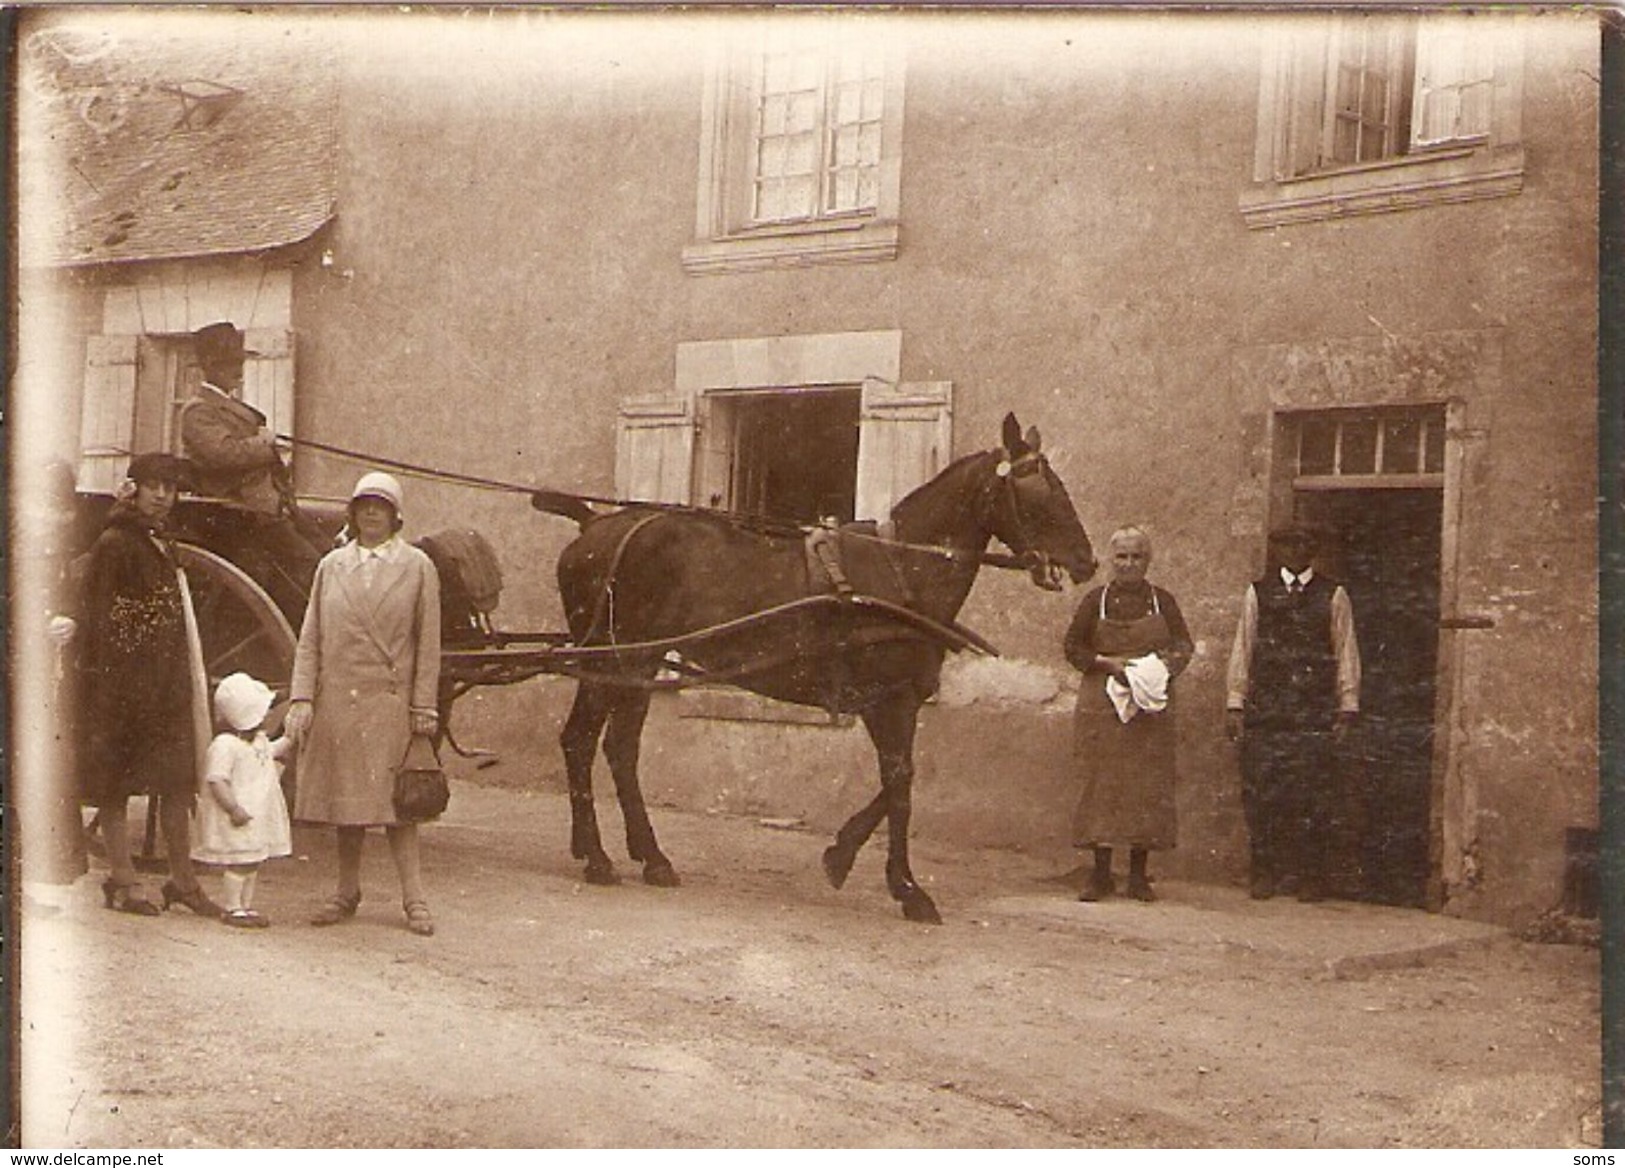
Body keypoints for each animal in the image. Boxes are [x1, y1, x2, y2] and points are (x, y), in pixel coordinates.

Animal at [539, 410, 1098, 922]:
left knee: (618, 747)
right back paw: (598, 858)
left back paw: (648, 858)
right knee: (582, 741)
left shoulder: (896, 699)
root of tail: (594, 526)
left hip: (638, 662)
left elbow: (897, 782)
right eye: (1037, 488)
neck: (901, 570)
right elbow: (900, 785)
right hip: (619, 657)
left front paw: (842, 854)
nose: (1087, 562)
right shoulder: (888, 700)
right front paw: (908, 888)